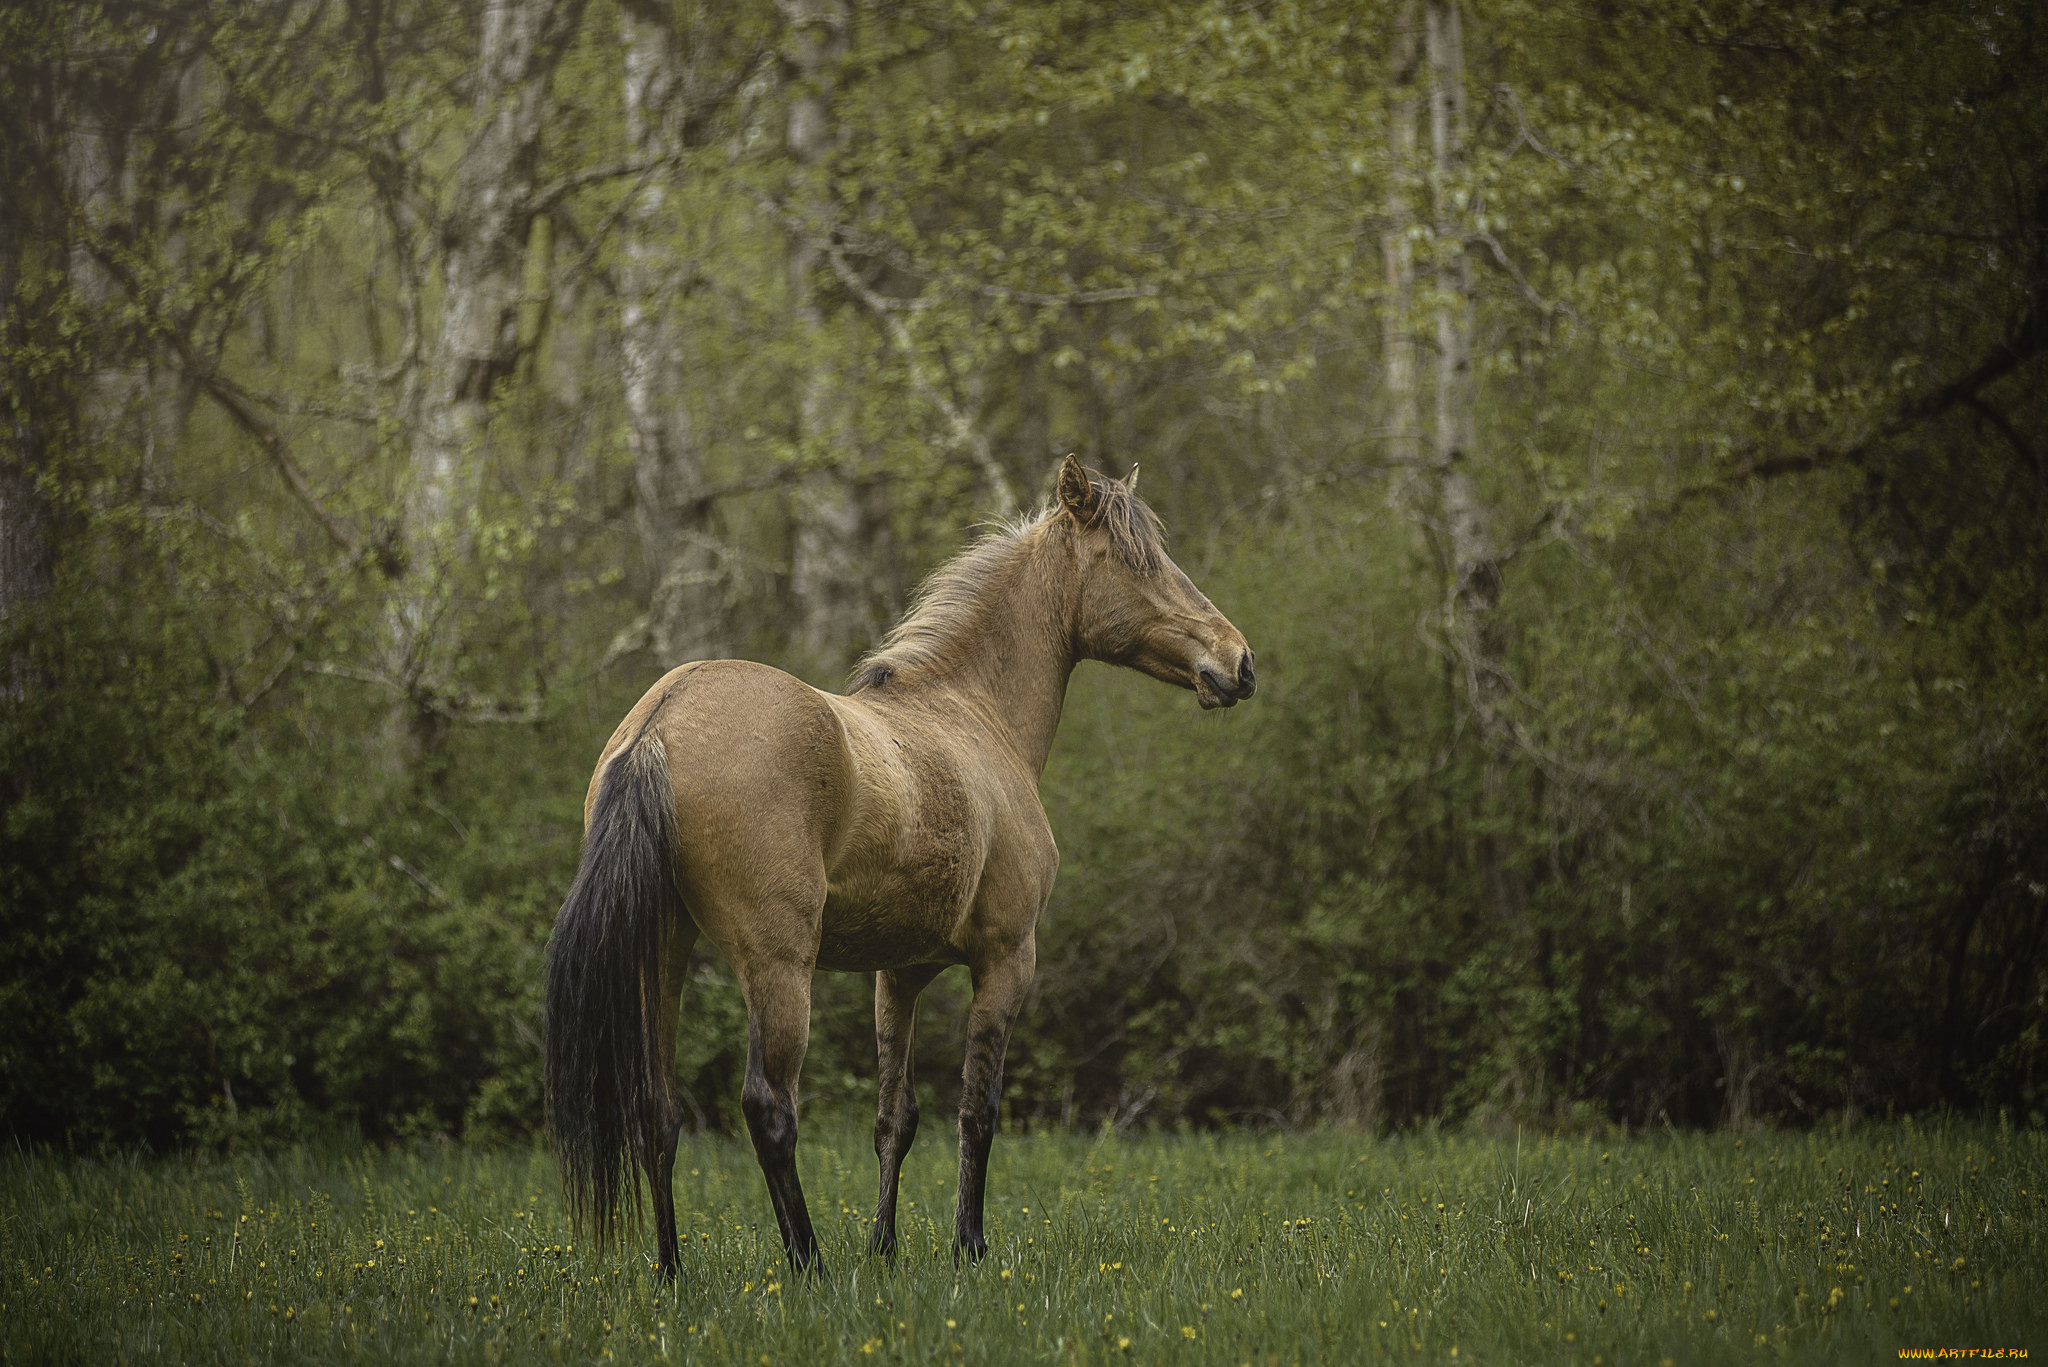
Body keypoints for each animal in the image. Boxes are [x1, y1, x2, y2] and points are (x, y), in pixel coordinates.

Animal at [536, 459, 1253, 1287]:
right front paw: (968, 1243)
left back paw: (671, 1271)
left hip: (662, 956)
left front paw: (884, 1242)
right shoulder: (1007, 960)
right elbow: (978, 1110)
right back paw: (808, 1263)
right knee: (769, 1108)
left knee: (658, 1110)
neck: (971, 713)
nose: (1239, 661)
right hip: (778, 966)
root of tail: (660, 723)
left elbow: (895, 1117)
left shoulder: (899, 974)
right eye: (1138, 561)